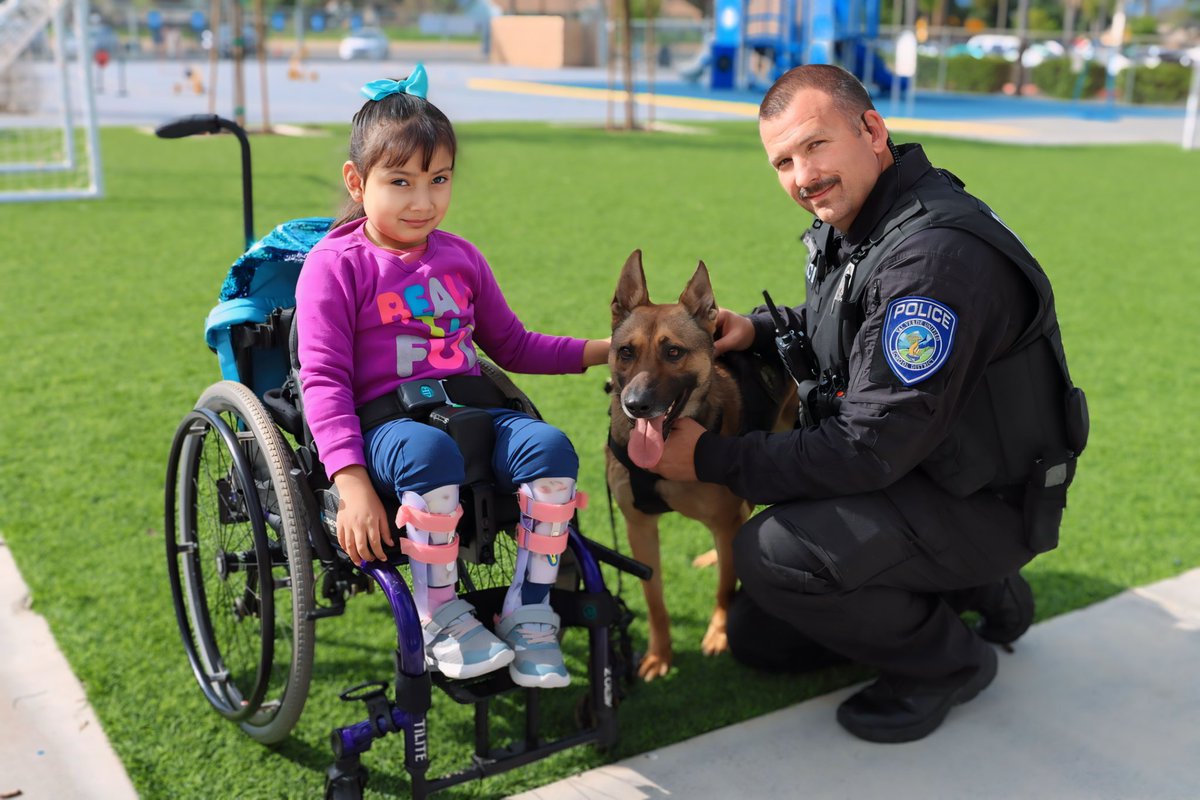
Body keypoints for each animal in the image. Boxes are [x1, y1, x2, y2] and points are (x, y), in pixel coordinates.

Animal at [609, 250, 796, 681]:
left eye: (673, 352)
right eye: (626, 352)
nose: (636, 405)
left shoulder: (723, 521)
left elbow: (725, 587)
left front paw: (718, 634)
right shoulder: (639, 528)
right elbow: (655, 602)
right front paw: (659, 655)